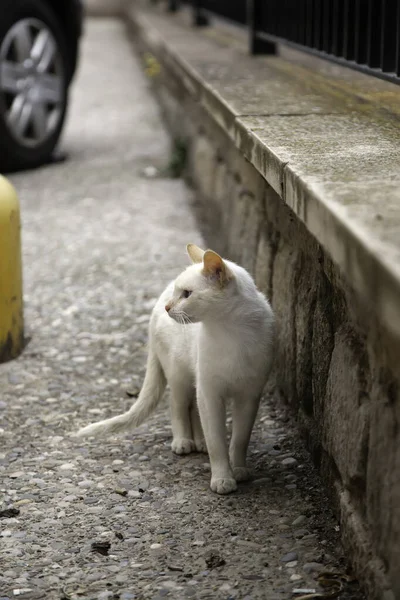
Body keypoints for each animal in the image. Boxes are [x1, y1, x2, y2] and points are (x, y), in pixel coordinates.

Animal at [76, 246, 276, 494]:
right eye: (178, 293)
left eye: (187, 294)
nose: (168, 307)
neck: (232, 334)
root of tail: (155, 307)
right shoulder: (209, 392)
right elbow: (217, 443)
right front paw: (222, 478)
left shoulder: (248, 396)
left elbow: (239, 439)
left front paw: (239, 469)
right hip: (179, 375)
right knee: (178, 406)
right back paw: (183, 441)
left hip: (194, 380)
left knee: (193, 409)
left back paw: (199, 442)